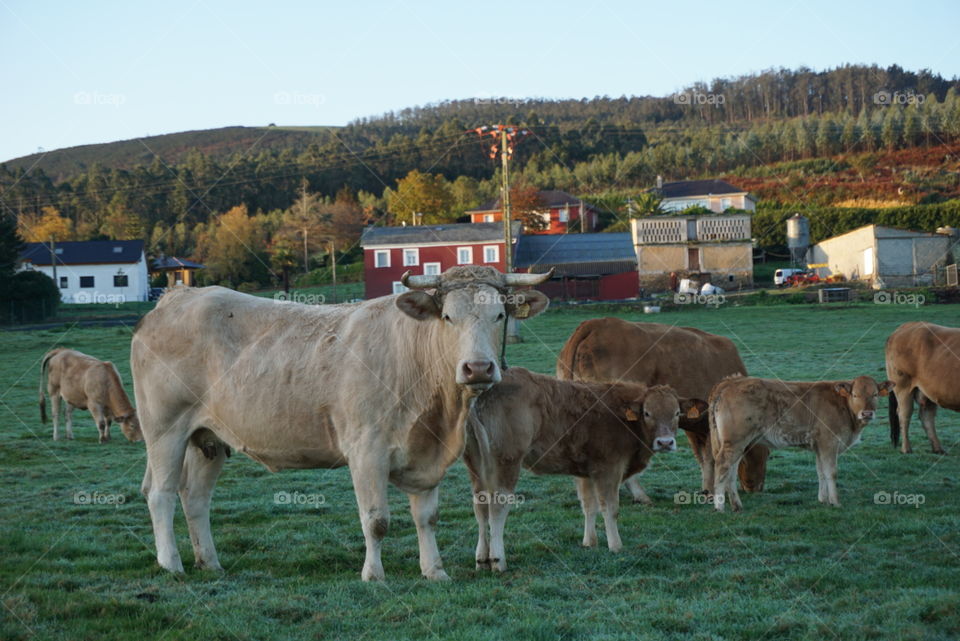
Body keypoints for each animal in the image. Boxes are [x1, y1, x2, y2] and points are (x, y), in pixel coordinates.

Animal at [464, 364, 704, 568]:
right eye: (647, 413)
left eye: (676, 413)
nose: (665, 442)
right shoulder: (609, 468)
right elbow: (610, 507)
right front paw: (615, 546)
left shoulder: (586, 473)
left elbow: (589, 505)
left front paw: (590, 542)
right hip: (507, 462)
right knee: (498, 506)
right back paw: (497, 560)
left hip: (476, 466)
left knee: (480, 507)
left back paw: (481, 558)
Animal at [556, 318, 772, 498]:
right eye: (768, 454)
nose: (755, 487)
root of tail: (596, 323)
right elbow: (711, 457)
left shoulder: (696, 425)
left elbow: (703, 458)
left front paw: (706, 489)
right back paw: (640, 495)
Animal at [712, 372, 892, 512]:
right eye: (855, 395)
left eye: (875, 394)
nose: (867, 413)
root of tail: (731, 381)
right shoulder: (829, 443)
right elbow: (831, 473)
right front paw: (835, 502)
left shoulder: (819, 446)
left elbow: (821, 472)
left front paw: (823, 500)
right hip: (734, 441)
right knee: (722, 466)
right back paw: (719, 507)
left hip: (738, 443)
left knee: (731, 471)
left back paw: (737, 506)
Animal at [884, 320, 960, 456]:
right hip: (903, 387)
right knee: (904, 415)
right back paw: (906, 449)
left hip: (929, 389)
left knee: (926, 416)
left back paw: (938, 448)